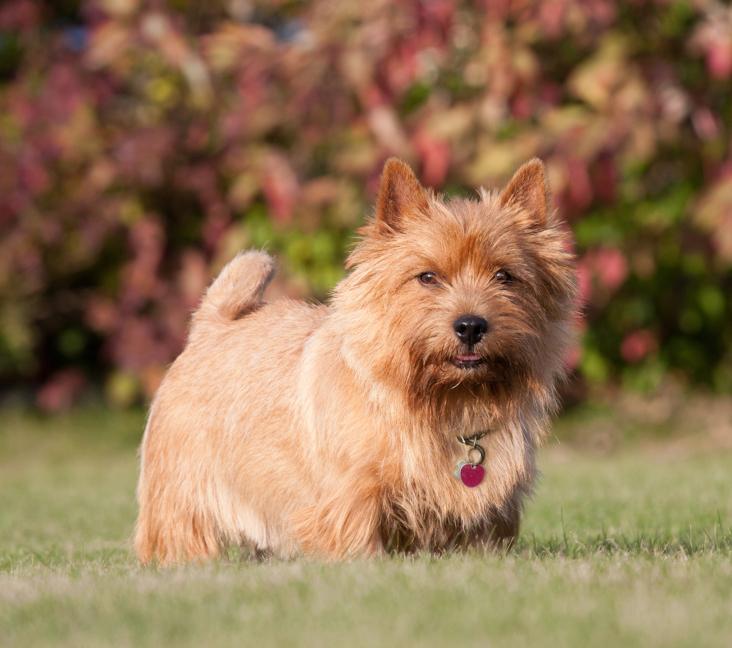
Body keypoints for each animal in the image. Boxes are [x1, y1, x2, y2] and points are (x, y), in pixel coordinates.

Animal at [134, 159, 576, 564]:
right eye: (427, 277)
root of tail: (211, 324)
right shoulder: (352, 491)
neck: (446, 402)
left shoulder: (493, 502)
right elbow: (357, 536)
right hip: (181, 489)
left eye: (504, 276)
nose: (470, 325)